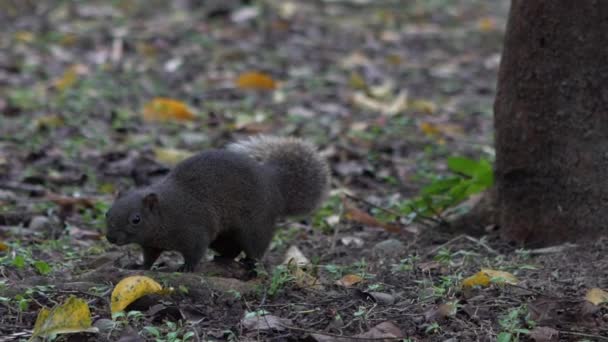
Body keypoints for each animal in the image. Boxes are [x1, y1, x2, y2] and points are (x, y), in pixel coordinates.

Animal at [106, 135, 330, 272]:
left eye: (136, 219)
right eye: (107, 214)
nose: (110, 238)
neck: (166, 213)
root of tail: (273, 184)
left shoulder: (193, 230)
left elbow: (194, 252)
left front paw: (186, 267)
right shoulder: (151, 244)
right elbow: (149, 258)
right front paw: (139, 267)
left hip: (254, 227)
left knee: (256, 249)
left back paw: (250, 264)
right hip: (223, 237)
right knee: (231, 249)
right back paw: (222, 259)